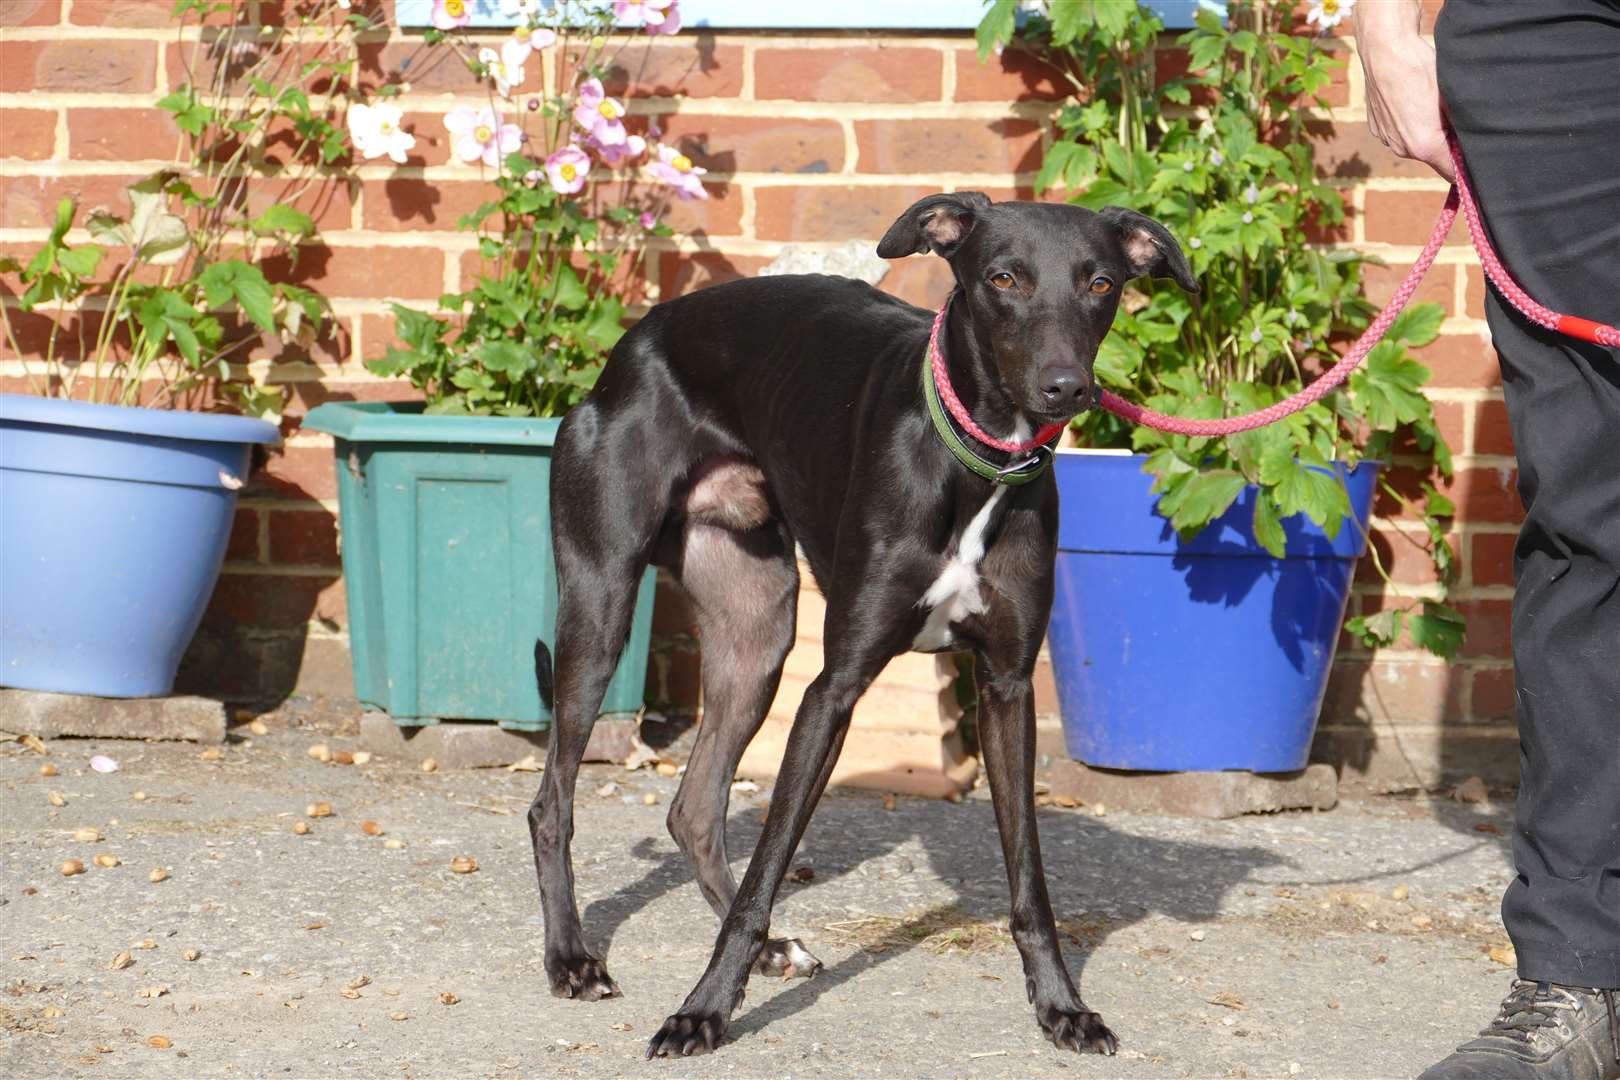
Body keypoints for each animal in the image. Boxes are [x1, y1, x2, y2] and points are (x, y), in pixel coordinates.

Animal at [524, 191, 1198, 1055]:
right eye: (1004, 277)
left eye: (1102, 283)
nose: (1065, 389)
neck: (974, 462)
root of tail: (635, 341)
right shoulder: (834, 687)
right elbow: (769, 865)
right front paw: (701, 1012)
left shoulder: (1009, 688)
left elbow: (1030, 883)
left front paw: (1063, 1007)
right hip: (602, 603)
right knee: (553, 802)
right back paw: (572, 960)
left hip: (758, 633)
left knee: (693, 809)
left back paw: (771, 950)